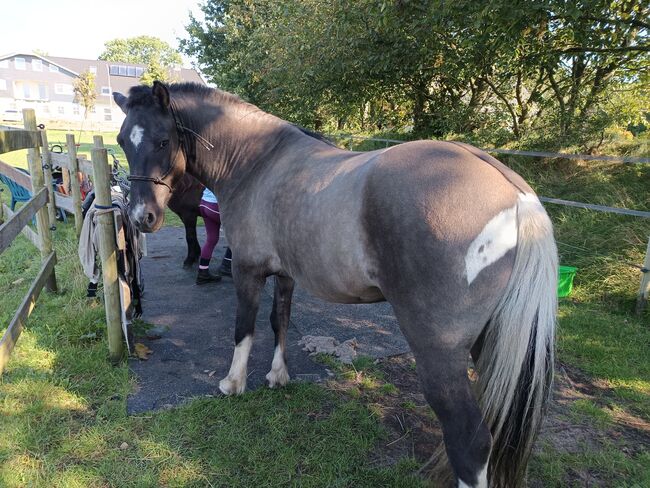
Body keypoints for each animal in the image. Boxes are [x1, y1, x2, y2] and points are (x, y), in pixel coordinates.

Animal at [112, 82, 556, 486]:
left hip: (439, 351)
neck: (258, 164)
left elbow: (245, 328)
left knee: (470, 439)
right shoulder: (286, 274)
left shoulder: (248, 271)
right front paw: (278, 377)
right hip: (487, 342)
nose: (140, 217)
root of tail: (513, 192)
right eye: (121, 141)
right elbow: (279, 322)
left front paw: (233, 383)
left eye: (163, 139)